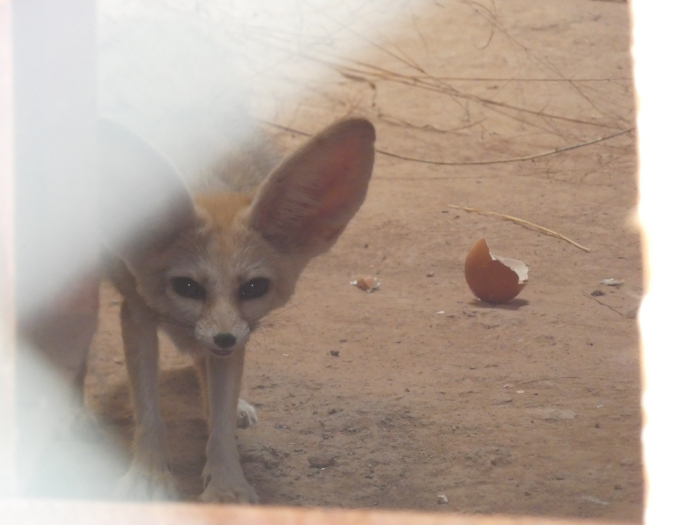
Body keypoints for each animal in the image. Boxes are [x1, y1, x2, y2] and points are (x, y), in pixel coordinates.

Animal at [97, 116, 378, 502]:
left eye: (254, 288)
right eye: (187, 287)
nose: (224, 339)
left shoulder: (239, 334)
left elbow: (222, 416)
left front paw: (227, 484)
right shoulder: (136, 311)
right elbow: (147, 408)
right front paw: (149, 474)